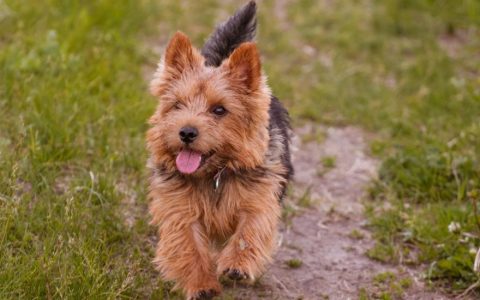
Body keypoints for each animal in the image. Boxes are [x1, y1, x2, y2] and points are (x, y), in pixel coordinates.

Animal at [146, 1, 292, 298]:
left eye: (220, 110)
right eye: (177, 105)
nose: (186, 132)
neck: (214, 174)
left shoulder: (259, 199)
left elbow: (251, 230)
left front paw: (237, 264)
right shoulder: (180, 210)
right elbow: (187, 246)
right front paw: (202, 285)